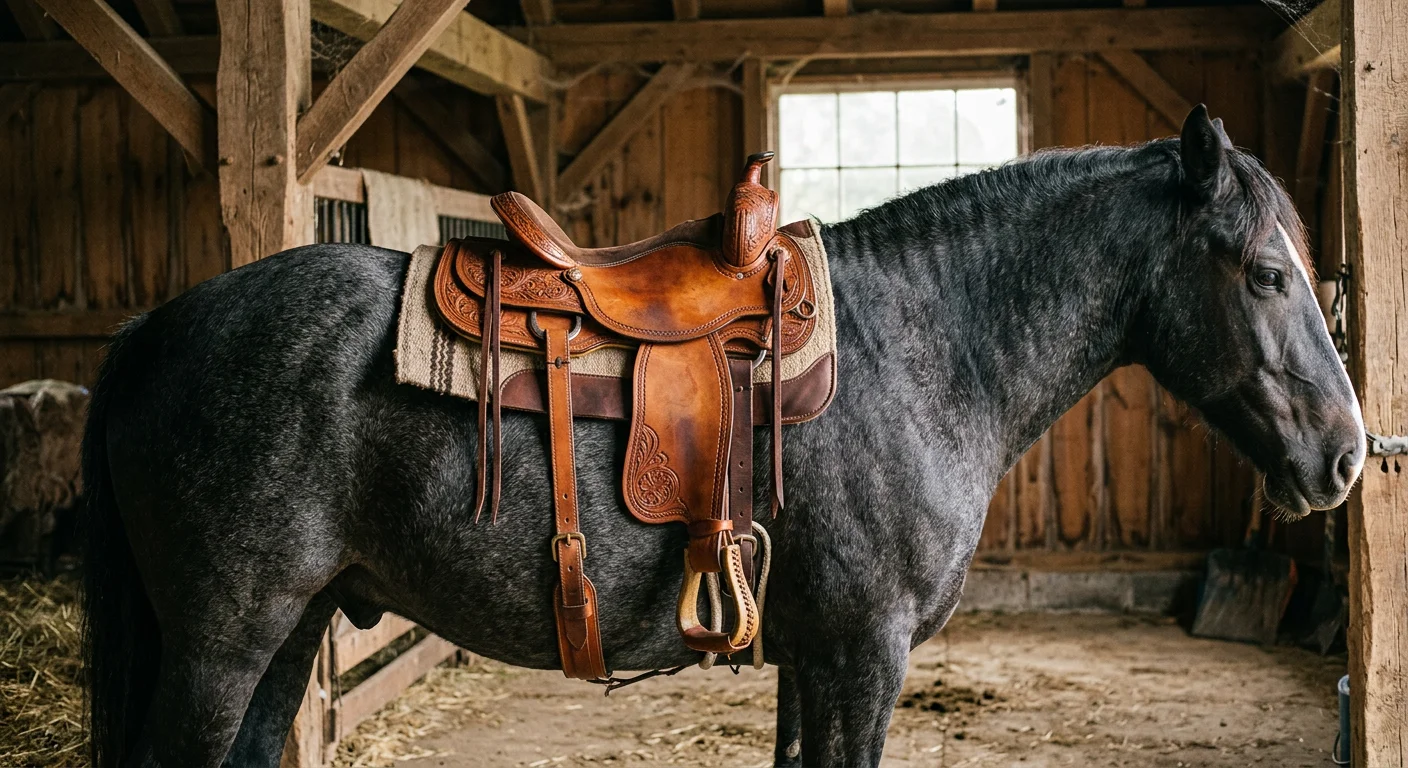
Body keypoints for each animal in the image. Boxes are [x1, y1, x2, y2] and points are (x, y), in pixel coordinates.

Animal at [81, 106, 1364, 767]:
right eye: (1264, 272)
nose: (1349, 456)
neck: (926, 347)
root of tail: (158, 328)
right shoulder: (861, 654)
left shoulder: (810, 656)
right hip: (224, 641)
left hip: (292, 627)